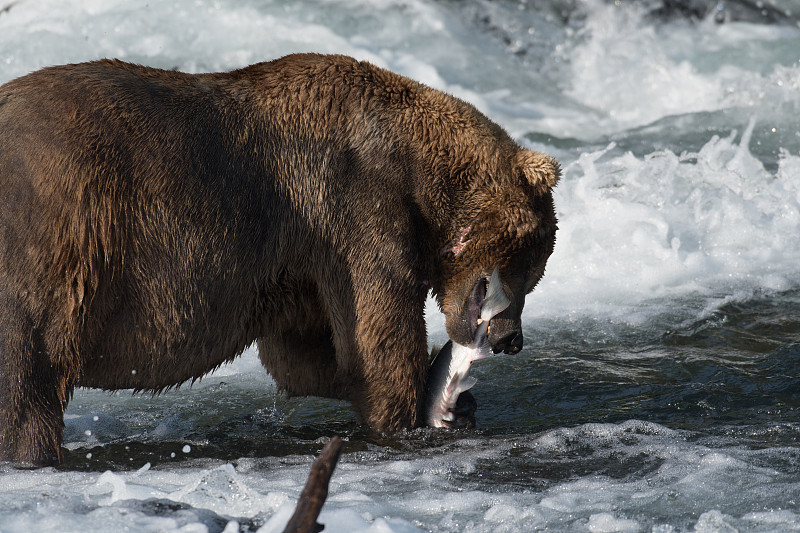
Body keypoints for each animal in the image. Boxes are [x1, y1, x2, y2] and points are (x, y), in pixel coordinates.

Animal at [0, 52, 556, 464]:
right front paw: (414, 414)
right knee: (27, 380)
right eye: (529, 263)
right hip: (52, 242)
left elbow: (310, 356)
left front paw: (460, 404)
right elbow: (378, 337)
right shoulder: (356, 206)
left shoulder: (300, 262)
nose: (511, 339)